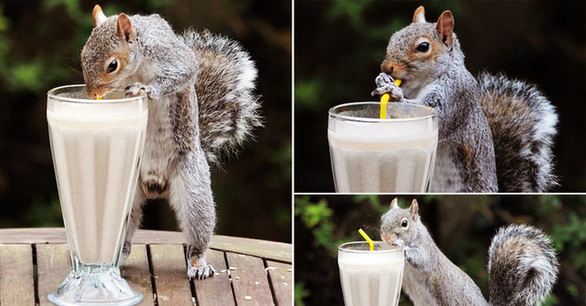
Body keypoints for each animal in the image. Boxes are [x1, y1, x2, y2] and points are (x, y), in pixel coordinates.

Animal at [80, 5, 260, 280]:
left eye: (112, 65)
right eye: (82, 55)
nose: (91, 95)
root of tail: (155, 185)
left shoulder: (170, 55)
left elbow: (182, 71)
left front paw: (146, 89)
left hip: (194, 188)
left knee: (198, 232)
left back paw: (197, 263)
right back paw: (115, 260)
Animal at [370, 6, 556, 191]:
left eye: (423, 47)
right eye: (393, 37)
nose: (386, 68)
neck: (421, 84)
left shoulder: (456, 94)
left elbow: (436, 117)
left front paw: (395, 94)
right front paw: (383, 80)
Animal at [378, 198, 556, 306]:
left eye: (404, 223)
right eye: (383, 218)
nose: (385, 237)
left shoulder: (427, 253)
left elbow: (421, 259)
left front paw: (401, 246)